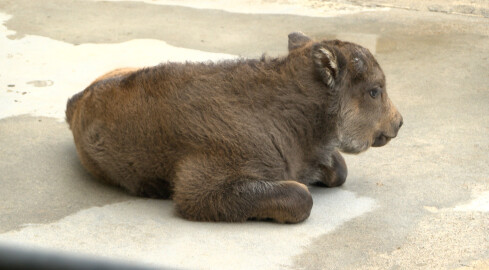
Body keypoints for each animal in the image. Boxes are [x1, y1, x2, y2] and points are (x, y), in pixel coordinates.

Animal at [66, 32, 400, 223]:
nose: (398, 122)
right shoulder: (204, 188)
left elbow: (338, 169)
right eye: (374, 90)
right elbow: (301, 197)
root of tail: (76, 102)